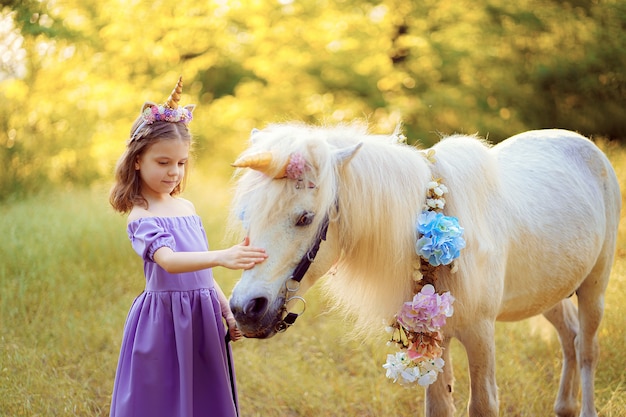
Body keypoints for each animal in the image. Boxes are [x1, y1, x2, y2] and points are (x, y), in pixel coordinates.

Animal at [227, 123, 616, 416]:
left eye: (306, 217)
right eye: (247, 214)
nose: (245, 309)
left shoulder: (480, 333)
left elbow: (483, 405)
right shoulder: (435, 335)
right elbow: (439, 407)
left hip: (594, 289)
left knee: (587, 350)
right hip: (549, 293)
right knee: (569, 336)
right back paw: (564, 407)